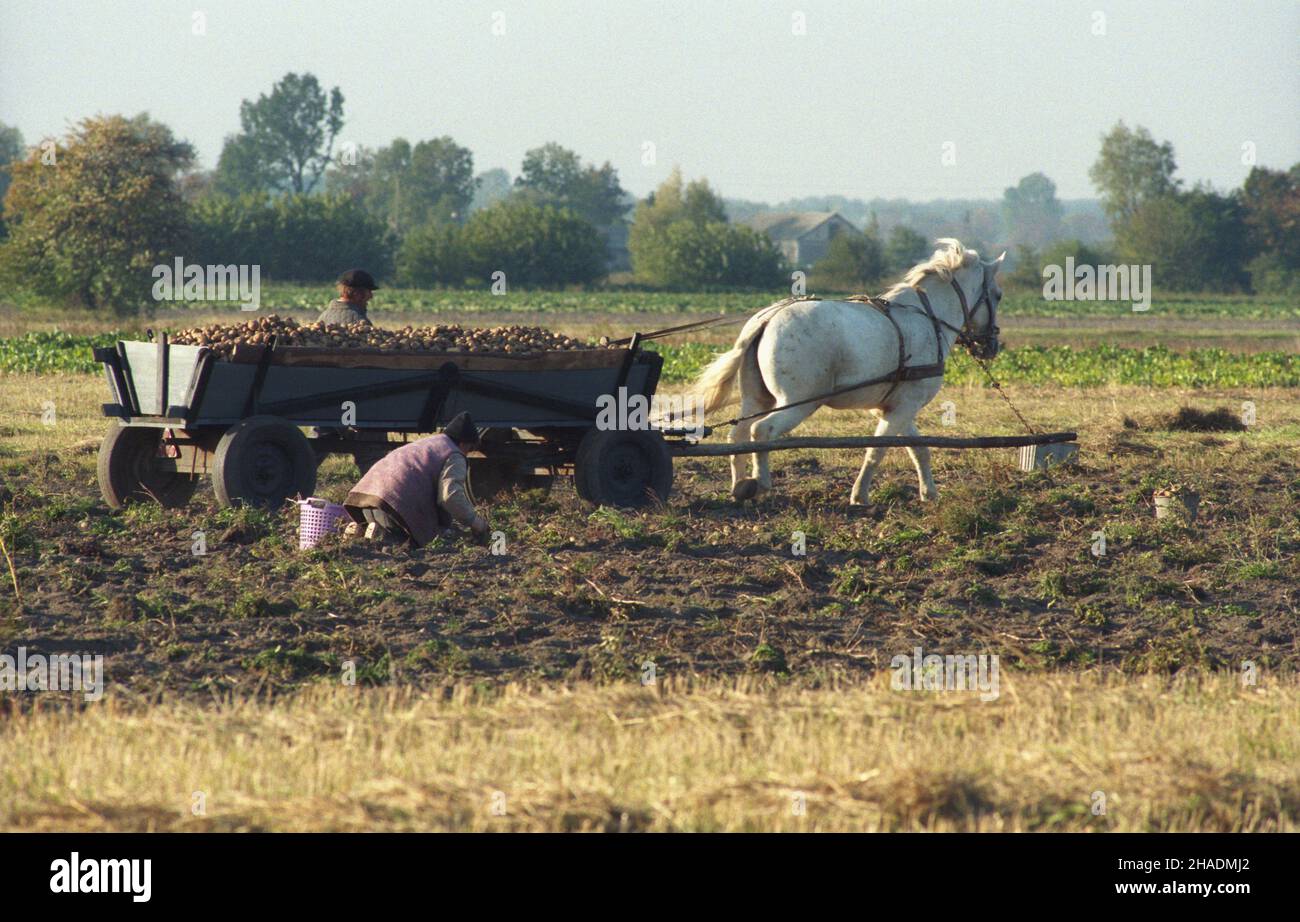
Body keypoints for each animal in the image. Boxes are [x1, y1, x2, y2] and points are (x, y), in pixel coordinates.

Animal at [691, 239, 1003, 504]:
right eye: (998, 296)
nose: (992, 345)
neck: (927, 319)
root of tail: (768, 318)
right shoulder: (904, 406)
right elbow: (877, 451)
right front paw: (860, 495)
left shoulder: (897, 407)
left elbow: (918, 449)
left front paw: (929, 493)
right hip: (797, 403)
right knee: (762, 431)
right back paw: (762, 484)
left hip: (756, 399)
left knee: (737, 437)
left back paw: (739, 487)